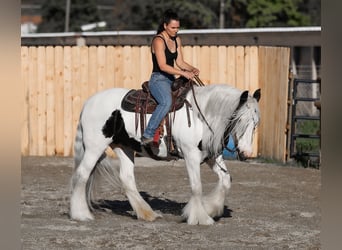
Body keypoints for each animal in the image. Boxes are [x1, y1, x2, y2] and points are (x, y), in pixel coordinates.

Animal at [70, 81, 262, 226]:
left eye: (255, 124)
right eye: (239, 121)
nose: (246, 153)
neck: (200, 116)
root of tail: (88, 103)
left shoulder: (212, 156)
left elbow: (226, 180)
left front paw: (211, 209)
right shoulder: (191, 155)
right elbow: (196, 186)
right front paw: (200, 217)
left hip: (124, 147)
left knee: (126, 178)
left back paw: (147, 213)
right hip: (95, 147)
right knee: (82, 175)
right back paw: (81, 214)